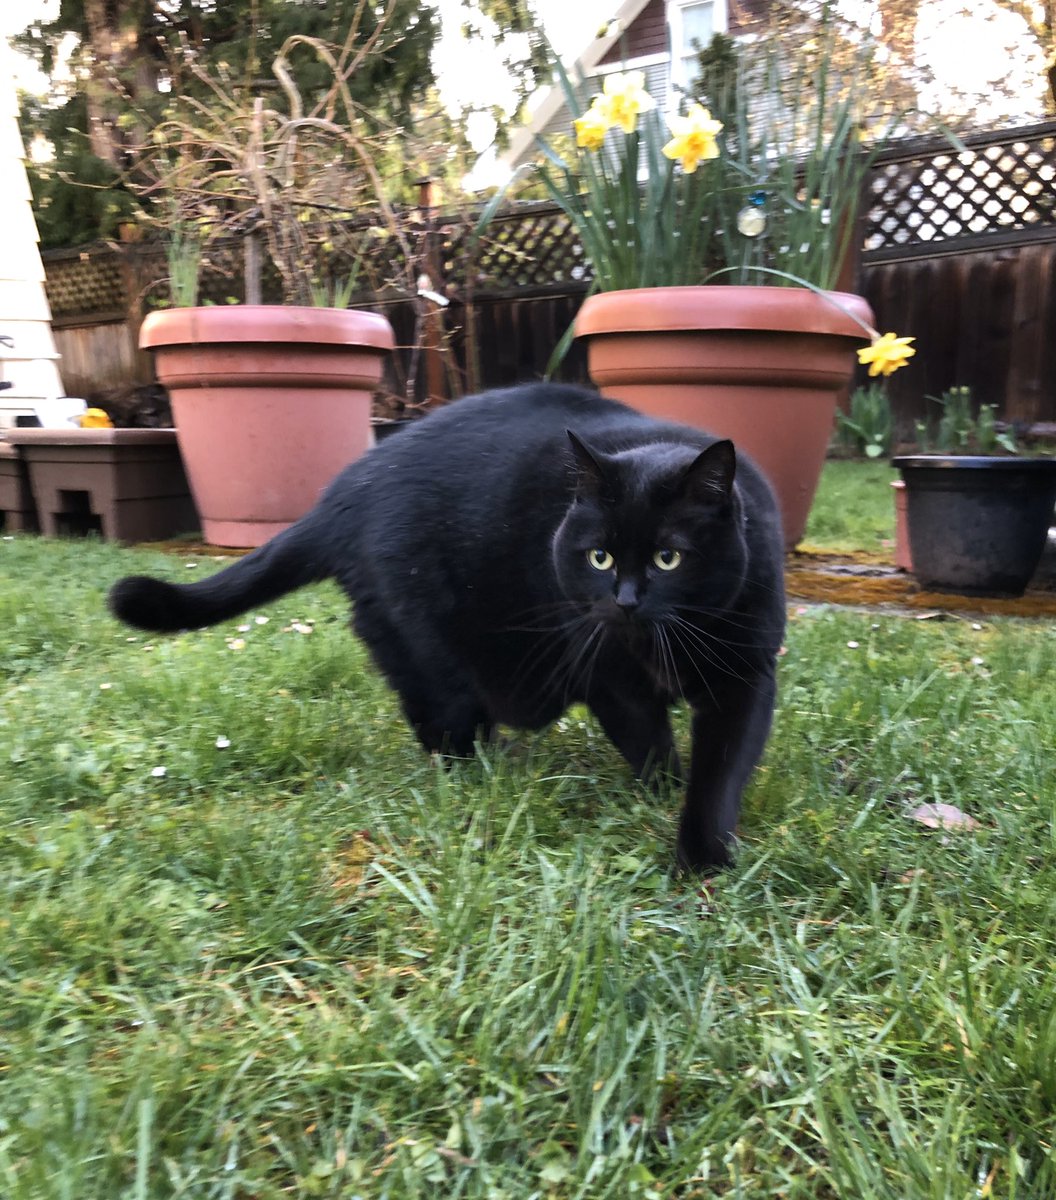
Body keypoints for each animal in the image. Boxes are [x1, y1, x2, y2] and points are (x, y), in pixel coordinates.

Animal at [109, 384, 782, 873]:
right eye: (600, 557)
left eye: (669, 557)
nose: (625, 601)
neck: (660, 642)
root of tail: (340, 495)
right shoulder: (607, 672)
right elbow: (651, 744)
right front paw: (669, 802)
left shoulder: (746, 671)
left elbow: (722, 768)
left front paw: (703, 851)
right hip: (428, 648)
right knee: (440, 724)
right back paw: (488, 773)